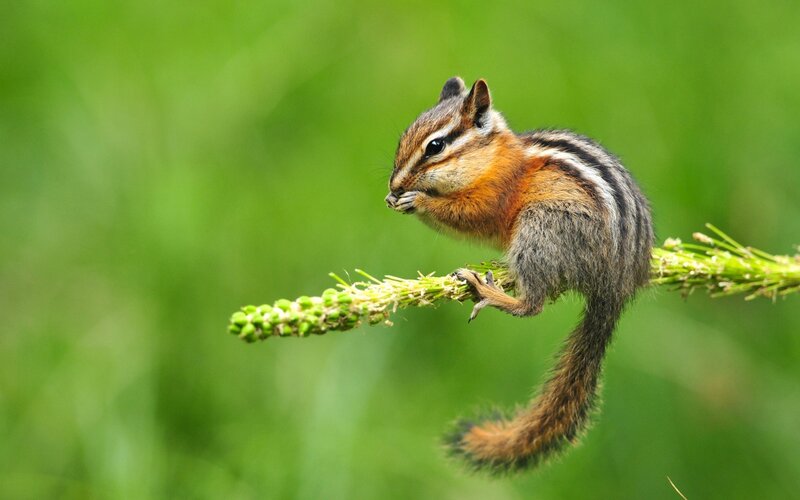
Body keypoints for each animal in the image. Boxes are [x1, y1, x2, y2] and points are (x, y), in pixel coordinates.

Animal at [385, 77, 654, 473]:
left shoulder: (494, 196)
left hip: (540, 229)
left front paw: (417, 201)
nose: (394, 186)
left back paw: (488, 292)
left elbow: (471, 215)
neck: (493, 161)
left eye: (435, 146)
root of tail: (616, 284)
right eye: (403, 139)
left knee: (533, 305)